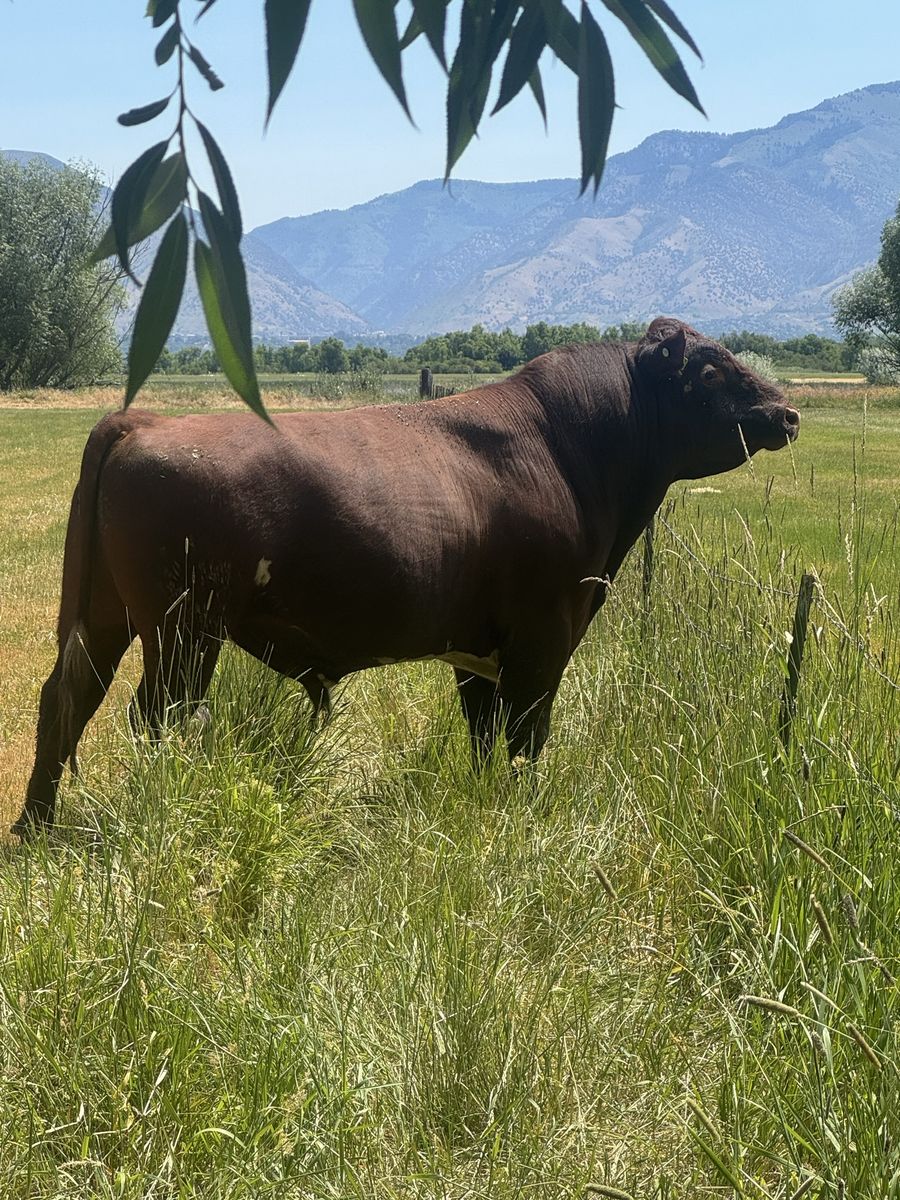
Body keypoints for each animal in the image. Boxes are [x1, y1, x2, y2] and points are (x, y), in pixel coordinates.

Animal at [12, 318, 799, 836]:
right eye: (711, 371)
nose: (787, 411)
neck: (569, 449)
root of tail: (144, 421)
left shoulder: (479, 651)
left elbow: (485, 736)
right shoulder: (543, 639)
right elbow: (526, 736)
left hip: (106, 617)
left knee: (68, 698)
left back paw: (35, 826)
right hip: (182, 630)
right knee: (156, 714)